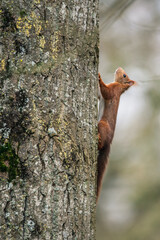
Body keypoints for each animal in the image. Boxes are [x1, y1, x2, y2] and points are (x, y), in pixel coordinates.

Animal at [97, 67, 136, 201]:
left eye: (124, 75)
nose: (119, 68)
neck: (120, 87)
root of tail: (109, 141)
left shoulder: (113, 90)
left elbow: (106, 92)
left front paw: (99, 77)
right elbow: (100, 95)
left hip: (103, 125)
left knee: (101, 142)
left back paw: (98, 139)